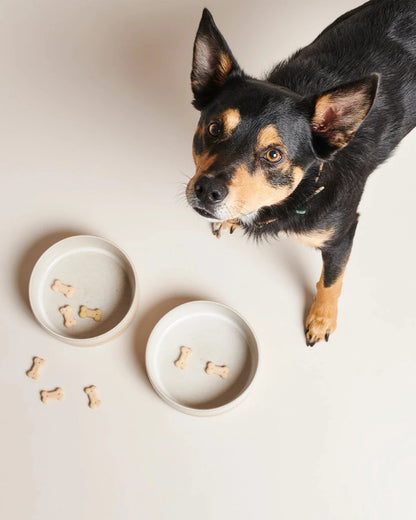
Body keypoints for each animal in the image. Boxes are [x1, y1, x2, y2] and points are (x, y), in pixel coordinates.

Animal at [186, 2, 416, 348]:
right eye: (214, 128)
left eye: (274, 154)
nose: (207, 190)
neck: (306, 185)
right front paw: (230, 219)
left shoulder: (342, 235)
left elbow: (332, 280)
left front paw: (322, 319)